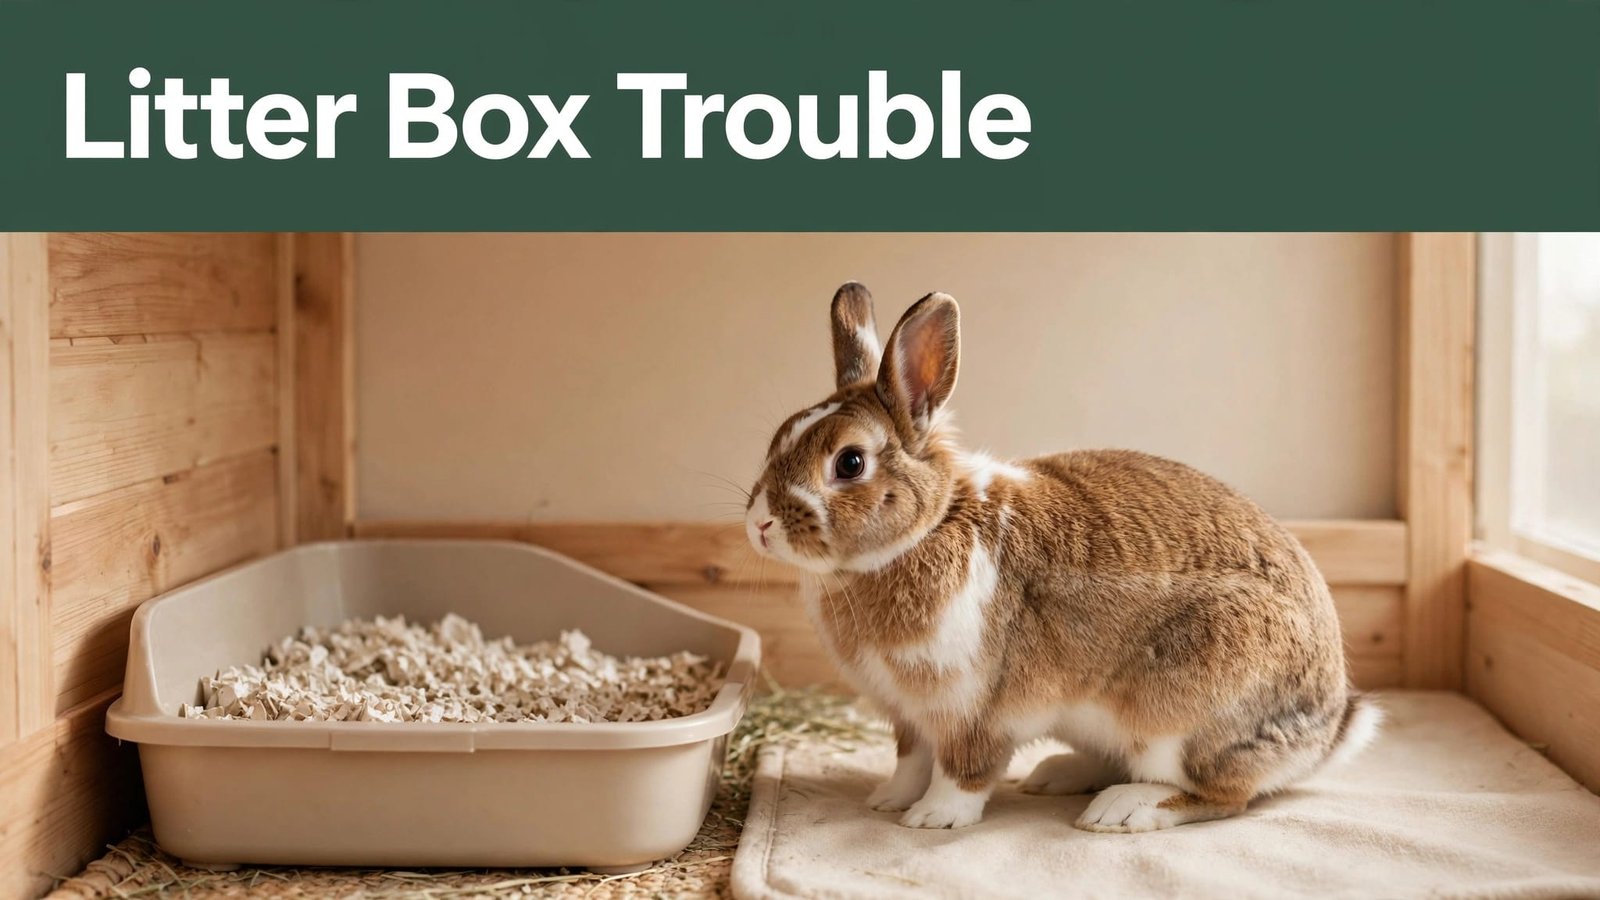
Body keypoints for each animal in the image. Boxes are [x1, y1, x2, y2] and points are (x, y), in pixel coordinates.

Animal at [743, 282, 1381, 832]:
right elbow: (909, 761)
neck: (929, 526)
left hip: (1184, 719)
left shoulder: (973, 709)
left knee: (1223, 795)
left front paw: (932, 818)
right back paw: (1058, 775)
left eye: (849, 463)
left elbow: (962, 772)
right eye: (775, 440)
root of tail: (1326, 730)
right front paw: (887, 801)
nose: (760, 525)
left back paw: (1122, 810)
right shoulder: (910, 717)